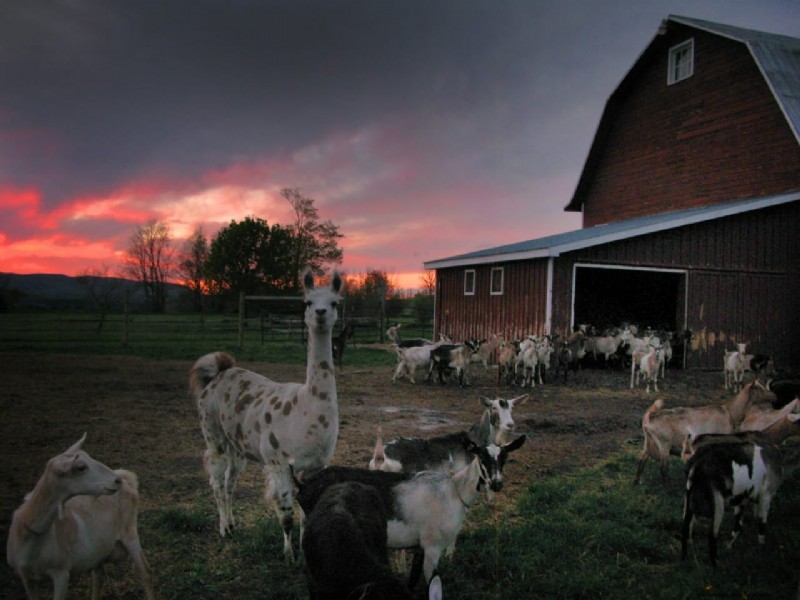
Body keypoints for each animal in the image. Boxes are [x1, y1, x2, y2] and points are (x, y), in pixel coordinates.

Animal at [7, 434, 154, 600]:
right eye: (81, 467)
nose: (117, 481)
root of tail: (128, 478)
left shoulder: (61, 571)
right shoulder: (26, 577)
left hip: (130, 531)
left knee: (145, 572)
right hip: (98, 549)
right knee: (99, 576)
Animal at [190, 268, 343, 562]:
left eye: (334, 303)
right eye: (307, 302)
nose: (320, 313)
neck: (308, 413)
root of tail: (220, 373)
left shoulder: (315, 466)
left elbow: (306, 513)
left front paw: (305, 551)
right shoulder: (278, 462)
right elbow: (287, 515)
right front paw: (289, 556)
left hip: (237, 445)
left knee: (230, 482)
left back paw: (232, 523)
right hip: (212, 432)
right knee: (217, 481)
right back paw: (223, 528)